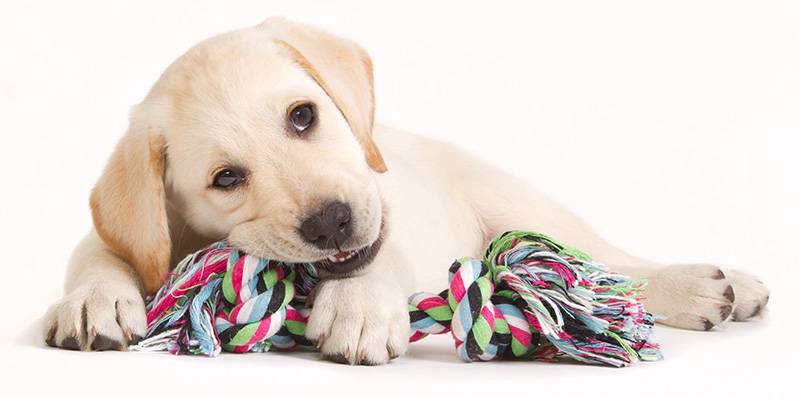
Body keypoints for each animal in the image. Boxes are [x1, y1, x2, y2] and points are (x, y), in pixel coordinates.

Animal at [42, 17, 768, 364]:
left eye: (303, 116)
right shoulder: (126, 230)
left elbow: (383, 249)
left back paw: (709, 285)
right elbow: (103, 253)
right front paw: (94, 302)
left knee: (609, 267)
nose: (331, 223)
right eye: (226, 180)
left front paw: (359, 305)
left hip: (518, 205)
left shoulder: (388, 215)